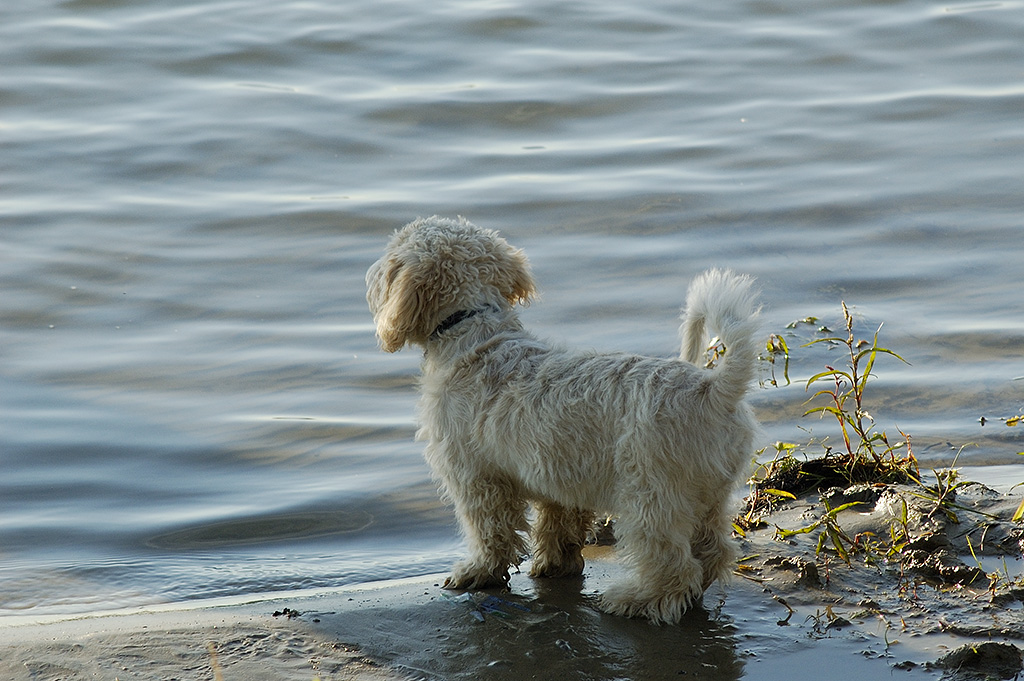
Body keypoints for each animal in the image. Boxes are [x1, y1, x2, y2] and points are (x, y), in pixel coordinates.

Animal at [364, 216, 757, 622]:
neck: (474, 331)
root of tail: (714, 387)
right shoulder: (557, 472)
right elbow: (559, 525)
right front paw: (555, 565)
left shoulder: (477, 477)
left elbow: (491, 532)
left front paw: (478, 571)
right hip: (710, 494)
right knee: (713, 553)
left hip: (651, 497)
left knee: (672, 565)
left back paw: (635, 599)